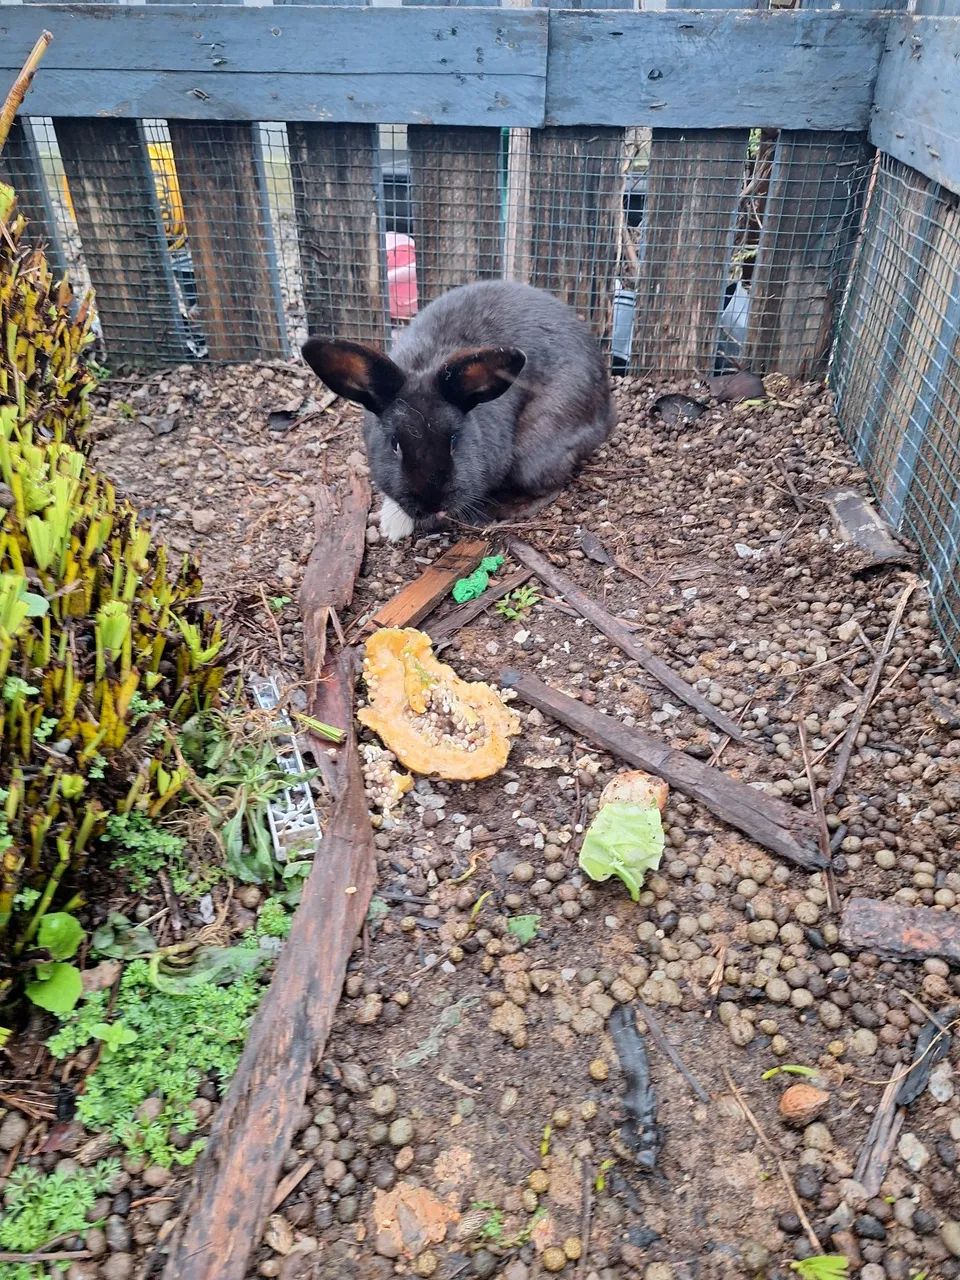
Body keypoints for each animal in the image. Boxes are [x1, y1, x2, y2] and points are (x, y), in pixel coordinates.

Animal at [301, 280, 615, 542]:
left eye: (454, 441)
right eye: (394, 444)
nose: (432, 504)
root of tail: (607, 414)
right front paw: (393, 525)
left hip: (535, 452)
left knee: (551, 482)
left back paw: (511, 509)